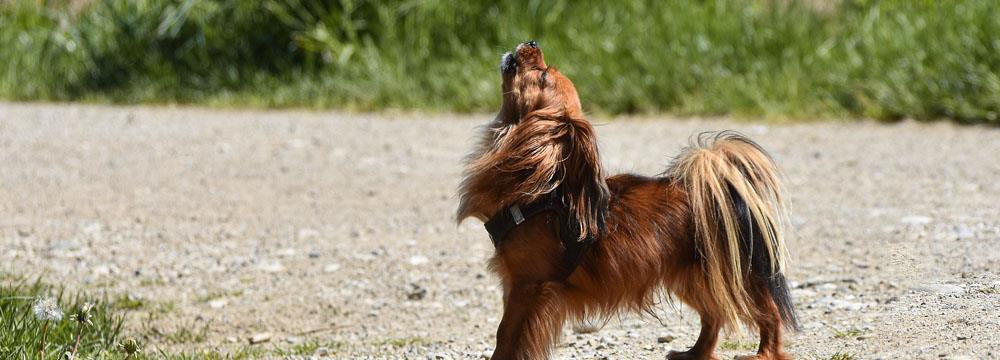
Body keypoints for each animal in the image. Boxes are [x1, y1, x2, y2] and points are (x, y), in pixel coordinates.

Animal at [458, 42, 796, 360]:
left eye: (542, 76)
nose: (532, 41)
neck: (539, 186)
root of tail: (717, 188)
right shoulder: (515, 285)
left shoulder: (528, 287)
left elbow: (506, 335)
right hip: (691, 279)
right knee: (714, 315)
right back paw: (694, 353)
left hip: (730, 276)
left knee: (767, 313)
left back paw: (764, 353)